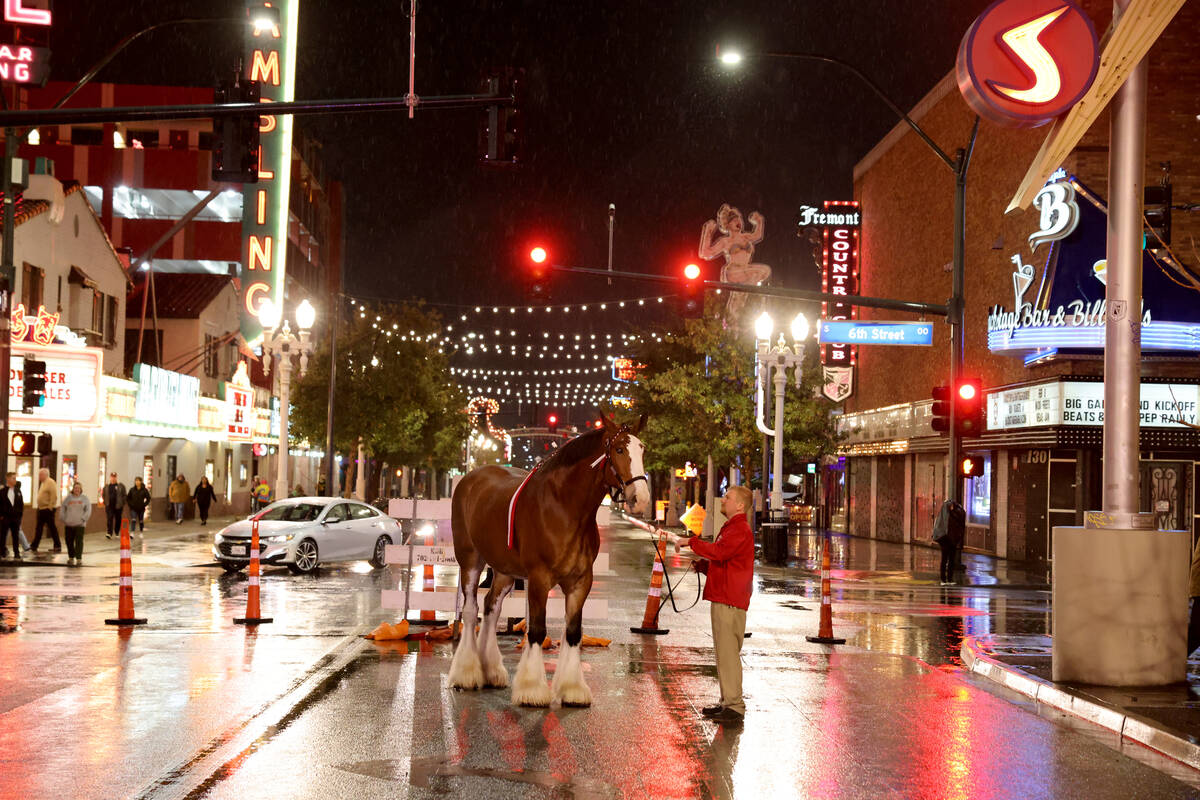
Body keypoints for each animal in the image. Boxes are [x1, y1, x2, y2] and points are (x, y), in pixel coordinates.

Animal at [446, 417, 648, 705]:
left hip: (505, 570)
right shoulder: (539, 579)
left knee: (491, 607)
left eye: (642, 450)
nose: (640, 498)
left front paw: (573, 689)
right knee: (471, 609)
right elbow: (537, 631)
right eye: (619, 449)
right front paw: (532, 689)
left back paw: (491, 671)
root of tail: (471, 478)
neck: (564, 508)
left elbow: (573, 632)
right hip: (470, 560)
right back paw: (467, 673)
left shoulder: (580, 581)